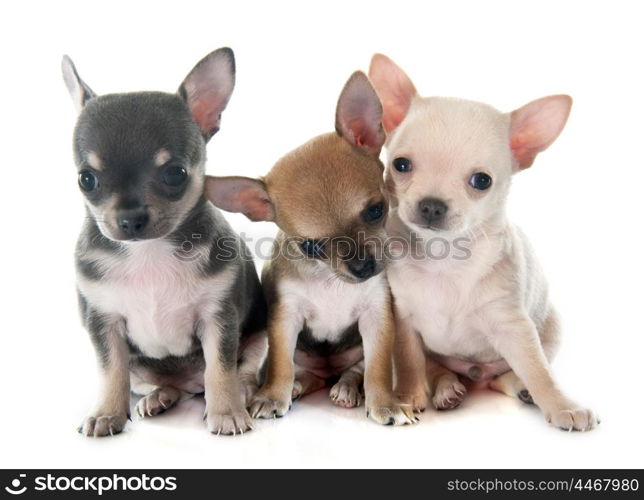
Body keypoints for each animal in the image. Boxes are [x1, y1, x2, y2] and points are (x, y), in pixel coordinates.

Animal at [62, 47, 266, 438]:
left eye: (175, 174)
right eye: (86, 179)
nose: (130, 219)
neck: (148, 252)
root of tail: (190, 384)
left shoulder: (219, 319)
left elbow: (220, 369)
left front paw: (227, 412)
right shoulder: (103, 322)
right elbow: (111, 371)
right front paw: (106, 413)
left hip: (256, 339)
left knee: (235, 371)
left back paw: (240, 393)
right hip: (142, 366)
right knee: (157, 383)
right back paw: (159, 398)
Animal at [204, 71, 416, 426]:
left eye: (377, 210)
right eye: (310, 247)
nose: (363, 267)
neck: (330, 282)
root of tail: (328, 374)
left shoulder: (377, 317)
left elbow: (377, 369)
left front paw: (385, 403)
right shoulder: (285, 318)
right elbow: (280, 365)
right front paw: (272, 396)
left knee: (354, 371)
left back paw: (345, 388)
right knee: (302, 372)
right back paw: (296, 387)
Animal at [368, 53, 600, 430]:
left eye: (481, 181)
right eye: (400, 165)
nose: (431, 205)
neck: (445, 257)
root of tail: (474, 372)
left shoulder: (514, 328)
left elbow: (539, 371)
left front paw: (562, 404)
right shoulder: (405, 321)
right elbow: (410, 361)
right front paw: (409, 396)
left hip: (548, 329)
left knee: (509, 375)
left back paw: (519, 388)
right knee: (437, 367)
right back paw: (447, 388)